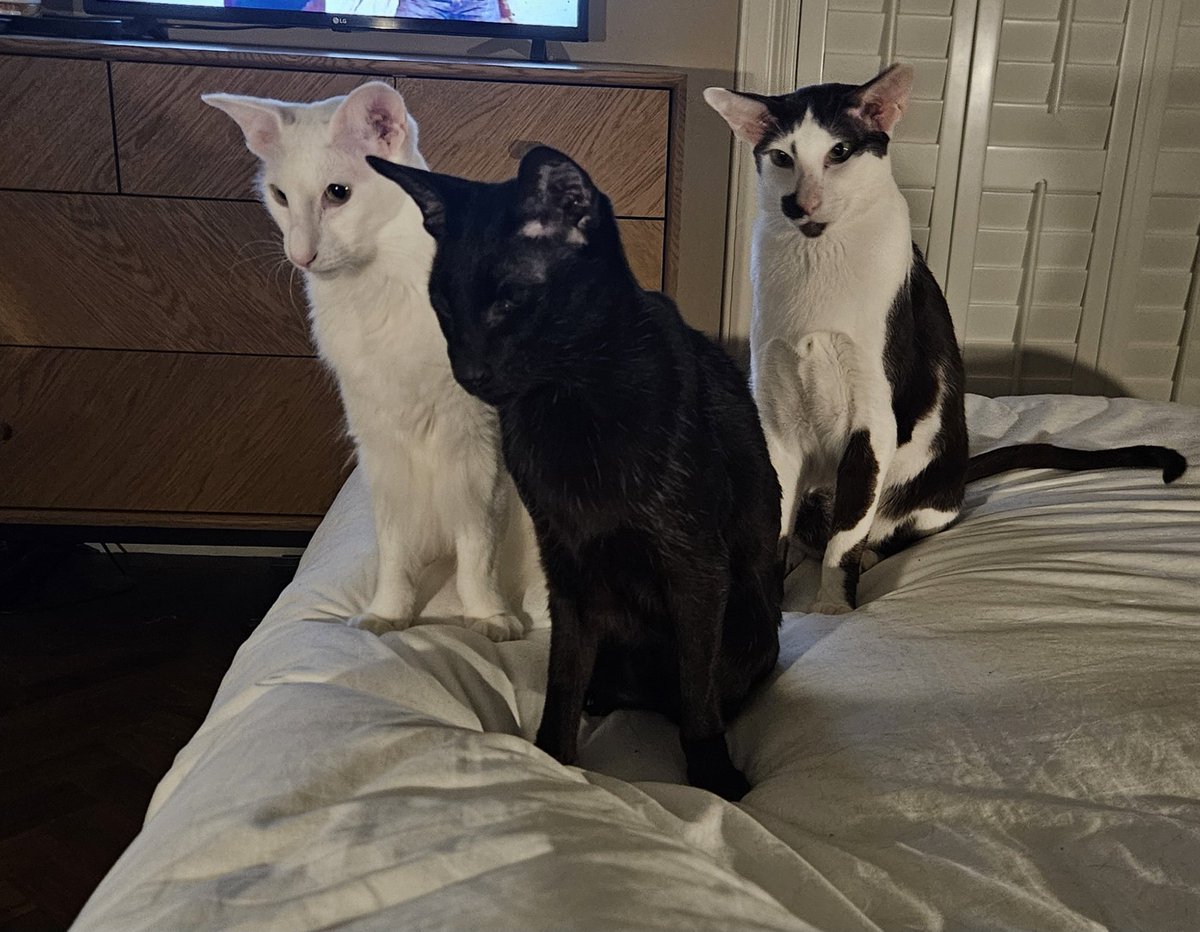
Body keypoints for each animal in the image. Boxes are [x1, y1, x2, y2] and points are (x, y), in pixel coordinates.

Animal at [205, 81, 530, 638]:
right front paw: (389, 614)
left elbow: (477, 549)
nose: (300, 255)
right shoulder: (382, 450)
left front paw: (488, 616)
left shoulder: (478, 449)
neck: (378, 289)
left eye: (338, 194)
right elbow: (396, 551)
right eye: (280, 196)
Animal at [374, 147, 787, 801]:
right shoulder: (566, 565)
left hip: (746, 626)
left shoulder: (695, 565)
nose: (468, 371)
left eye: (509, 301)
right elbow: (563, 679)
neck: (568, 399)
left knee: (700, 688)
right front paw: (552, 762)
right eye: (441, 305)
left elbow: (697, 687)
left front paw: (712, 773)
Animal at [705, 67, 1185, 618]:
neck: (817, 260)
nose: (798, 203)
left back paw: (867, 555)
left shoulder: (873, 420)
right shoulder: (775, 415)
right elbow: (774, 525)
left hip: (923, 492)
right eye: (783, 157)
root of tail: (959, 474)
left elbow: (844, 541)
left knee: (878, 531)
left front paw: (831, 607)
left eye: (840, 151)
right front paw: (768, 606)